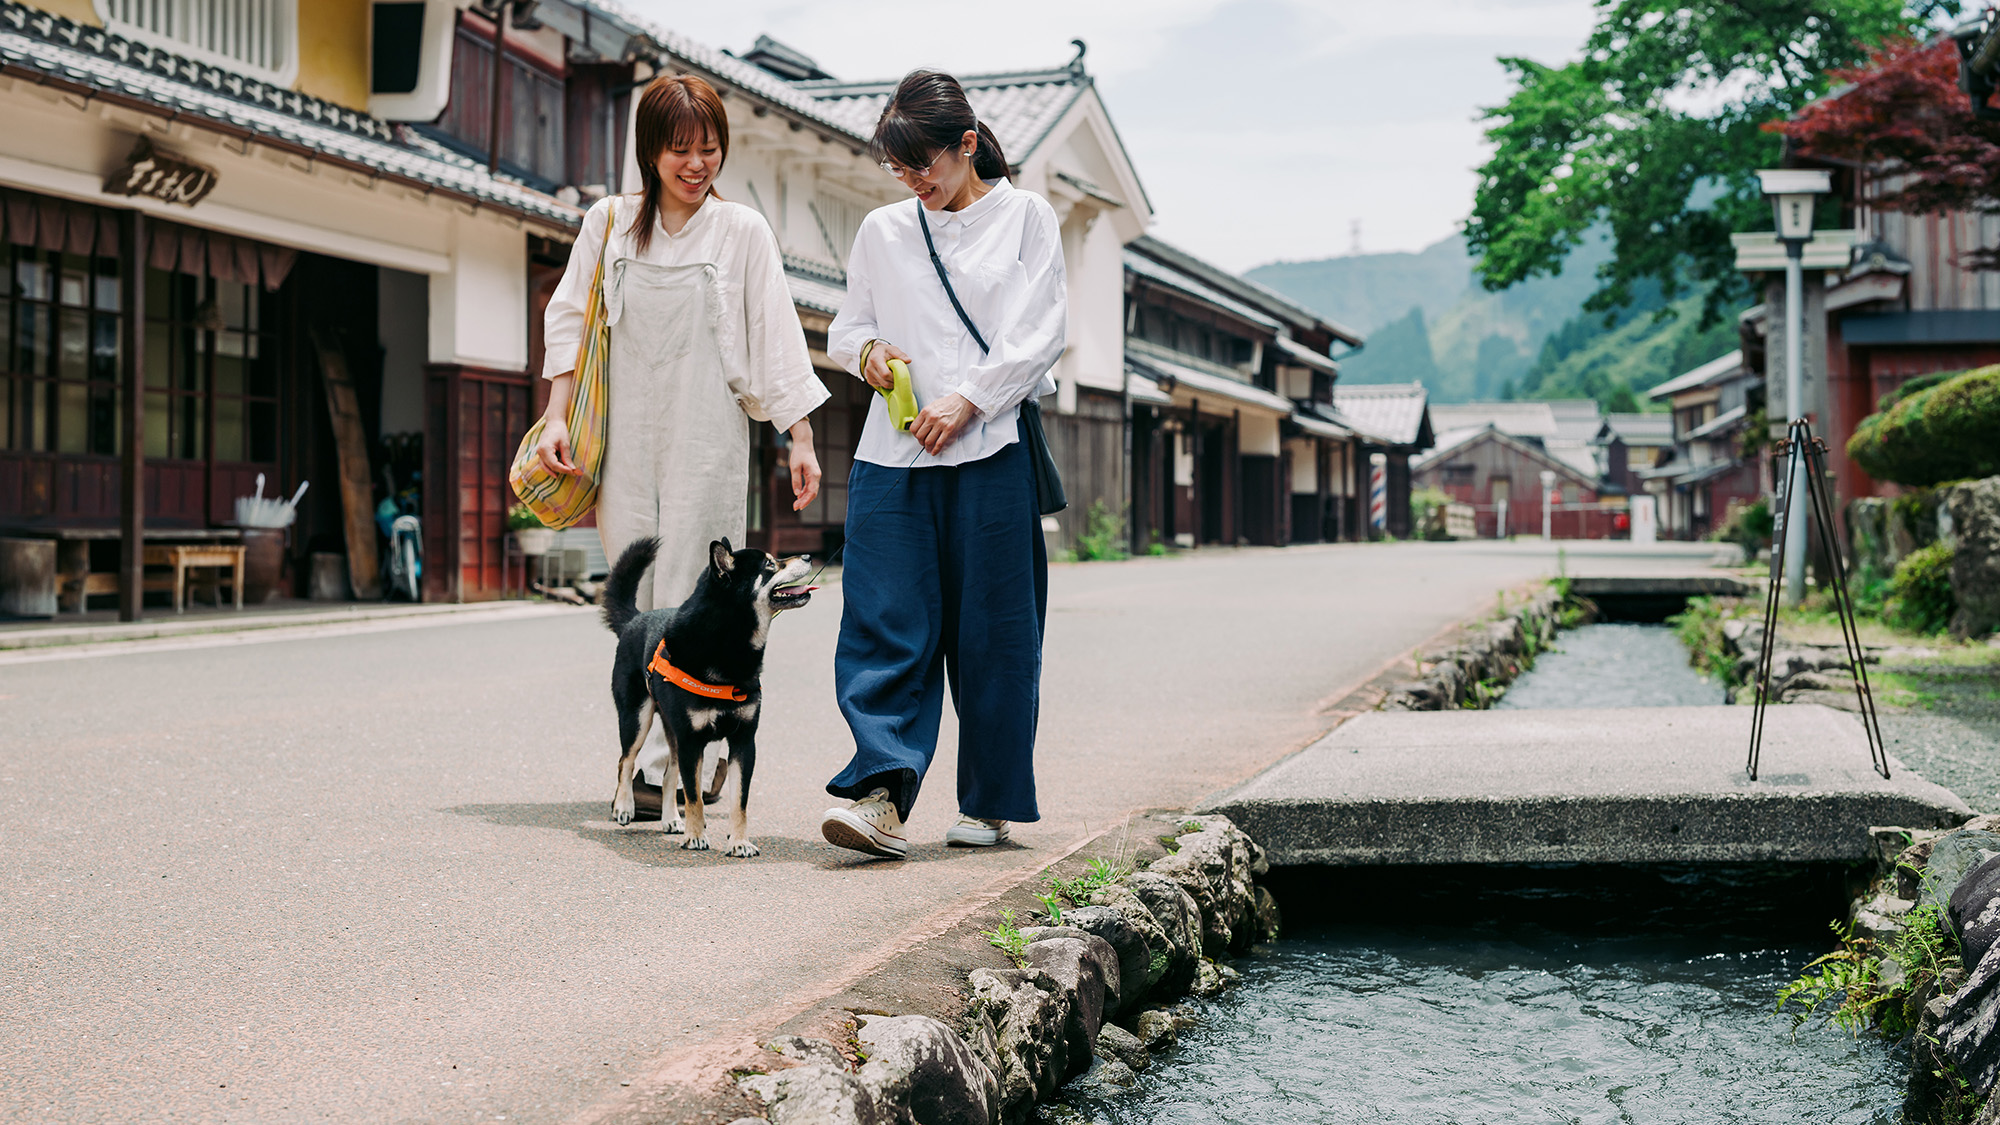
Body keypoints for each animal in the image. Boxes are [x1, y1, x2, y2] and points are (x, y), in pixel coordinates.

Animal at [600, 532, 812, 848]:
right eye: (769, 564)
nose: (809, 557)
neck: (729, 643)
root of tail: (634, 619)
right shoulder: (692, 741)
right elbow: (694, 796)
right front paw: (696, 835)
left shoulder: (743, 742)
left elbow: (739, 801)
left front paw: (739, 841)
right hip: (636, 719)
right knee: (625, 761)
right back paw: (624, 806)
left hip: (671, 732)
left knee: (668, 776)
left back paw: (671, 818)